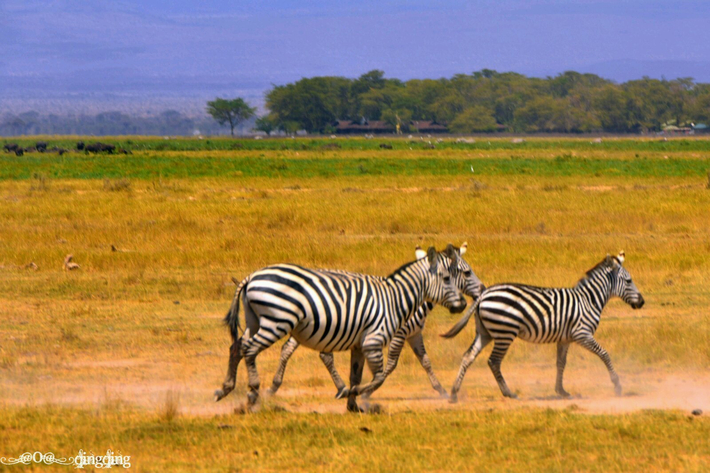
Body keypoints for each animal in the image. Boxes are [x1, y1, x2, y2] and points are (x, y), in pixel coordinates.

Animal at [264, 243, 486, 398]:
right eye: (467, 272)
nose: (483, 288)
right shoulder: (398, 334)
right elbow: (391, 365)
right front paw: (367, 391)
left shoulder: (414, 334)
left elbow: (425, 361)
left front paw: (441, 390)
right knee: (323, 355)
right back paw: (341, 387)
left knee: (288, 348)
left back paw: (275, 386)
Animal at [448, 251, 648, 402]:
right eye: (629, 281)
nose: (642, 302)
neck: (588, 300)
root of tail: (483, 294)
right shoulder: (582, 334)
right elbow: (604, 354)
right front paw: (617, 385)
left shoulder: (565, 338)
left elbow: (561, 363)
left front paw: (561, 391)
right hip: (505, 332)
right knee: (494, 361)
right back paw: (508, 393)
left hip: (485, 332)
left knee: (468, 357)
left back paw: (454, 393)